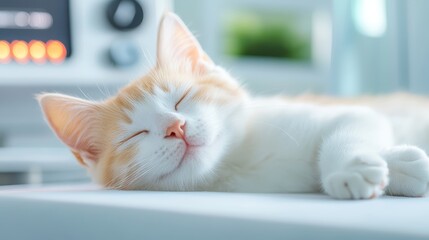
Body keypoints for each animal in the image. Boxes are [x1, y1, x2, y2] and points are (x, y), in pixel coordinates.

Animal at [37, 12, 428, 200]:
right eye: (135, 135)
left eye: (181, 97)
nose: (175, 128)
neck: (235, 163)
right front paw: (392, 166)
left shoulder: (345, 111)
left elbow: (355, 122)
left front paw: (354, 165)